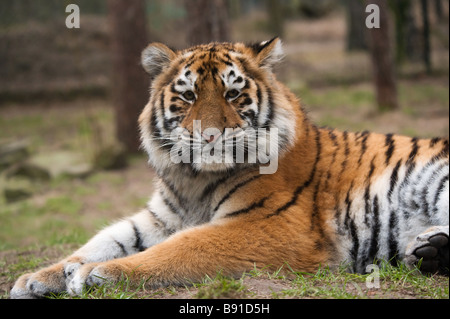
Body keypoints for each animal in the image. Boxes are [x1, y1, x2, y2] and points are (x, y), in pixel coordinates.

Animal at [11, 38, 450, 300]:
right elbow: (104, 239)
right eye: (188, 96)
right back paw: (430, 250)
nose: (209, 136)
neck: (192, 181)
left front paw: (97, 273)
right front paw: (39, 277)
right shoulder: (160, 217)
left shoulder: (268, 225)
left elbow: (184, 246)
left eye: (233, 93)